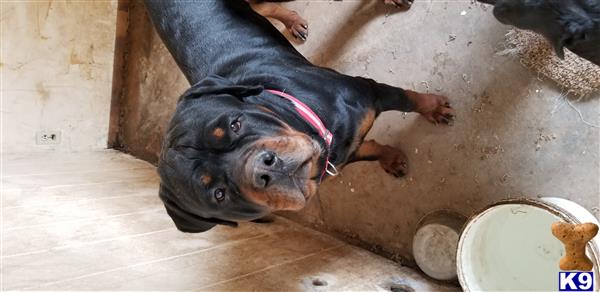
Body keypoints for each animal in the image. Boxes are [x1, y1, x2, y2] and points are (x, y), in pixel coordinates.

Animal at [145, 0, 452, 233]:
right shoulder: (341, 154)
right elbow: (369, 151)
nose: (264, 170)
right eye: (219, 195)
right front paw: (391, 159)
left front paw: (433, 108)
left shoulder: (368, 91)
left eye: (235, 124)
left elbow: (408, 99)